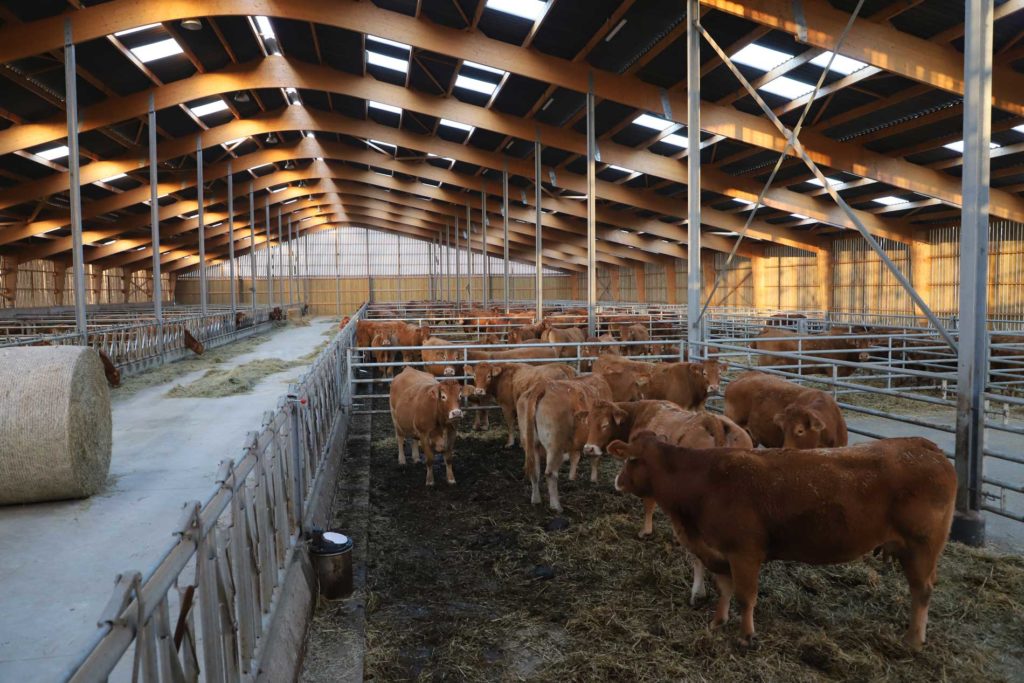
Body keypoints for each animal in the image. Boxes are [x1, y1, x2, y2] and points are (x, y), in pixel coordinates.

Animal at [602, 432, 954, 651]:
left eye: (630, 460)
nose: (617, 481)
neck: (702, 484)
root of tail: (925, 446)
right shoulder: (717, 551)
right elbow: (724, 589)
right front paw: (718, 621)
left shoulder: (744, 553)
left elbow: (745, 596)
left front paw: (746, 637)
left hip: (921, 547)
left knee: (922, 591)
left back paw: (913, 639)